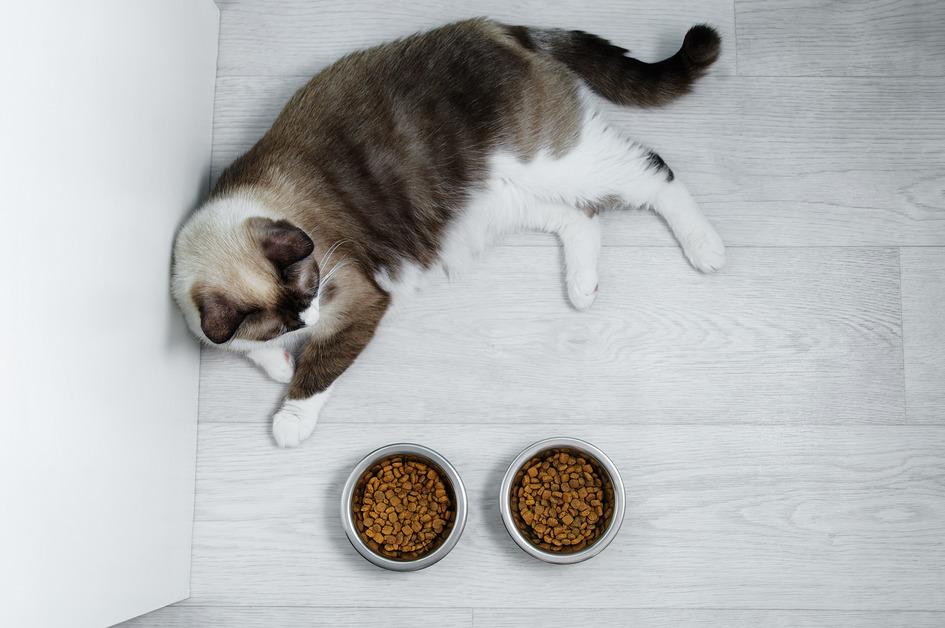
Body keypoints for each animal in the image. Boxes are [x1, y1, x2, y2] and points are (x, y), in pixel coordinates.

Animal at [173, 18, 728, 446]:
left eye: (311, 287)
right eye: (287, 319)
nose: (309, 316)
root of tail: (495, 26)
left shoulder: (354, 299)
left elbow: (319, 369)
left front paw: (290, 416)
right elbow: (249, 350)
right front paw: (280, 363)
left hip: (557, 163)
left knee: (654, 172)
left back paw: (706, 248)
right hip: (502, 198)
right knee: (583, 216)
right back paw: (582, 287)